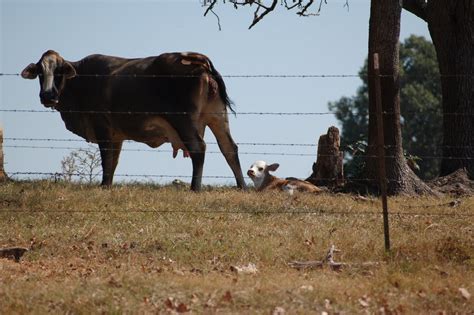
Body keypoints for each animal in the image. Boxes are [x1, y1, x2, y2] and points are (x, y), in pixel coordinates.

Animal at [21, 50, 244, 191]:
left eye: (59, 71)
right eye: (40, 72)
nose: (47, 96)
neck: (82, 79)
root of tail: (200, 61)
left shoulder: (102, 126)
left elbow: (106, 157)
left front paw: (104, 185)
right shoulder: (117, 134)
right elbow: (114, 161)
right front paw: (108, 184)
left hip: (184, 121)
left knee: (199, 148)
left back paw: (194, 188)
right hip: (217, 117)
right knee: (229, 148)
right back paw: (241, 186)